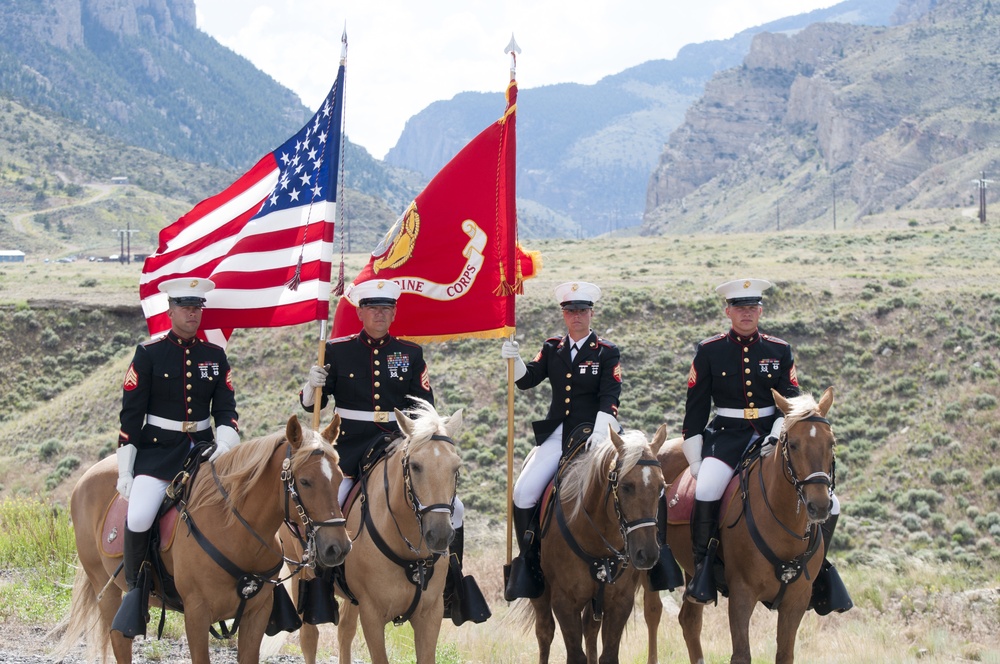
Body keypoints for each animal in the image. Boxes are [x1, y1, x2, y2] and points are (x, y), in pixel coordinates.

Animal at [57, 416, 352, 664]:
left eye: (339, 478)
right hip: (105, 589)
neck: (234, 530)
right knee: (119, 640)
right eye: (305, 481)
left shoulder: (257, 613)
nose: (338, 548)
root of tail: (85, 477)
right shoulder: (196, 614)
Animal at [332, 400, 464, 664]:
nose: (439, 535)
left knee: (345, 631)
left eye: (456, 467)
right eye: (415, 466)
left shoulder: (430, 614)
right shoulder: (372, 615)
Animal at [528, 426, 668, 664]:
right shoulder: (565, 602)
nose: (647, 555)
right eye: (626, 487)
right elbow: (575, 655)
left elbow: (608, 655)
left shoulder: (620, 601)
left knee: (590, 630)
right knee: (544, 631)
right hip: (542, 593)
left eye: (661, 487)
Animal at [652, 386, 840, 660]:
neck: (785, 525)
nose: (820, 506)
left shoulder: (796, 600)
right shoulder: (742, 593)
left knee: (689, 621)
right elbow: (741, 654)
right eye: (793, 445)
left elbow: (785, 654)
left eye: (831, 444)